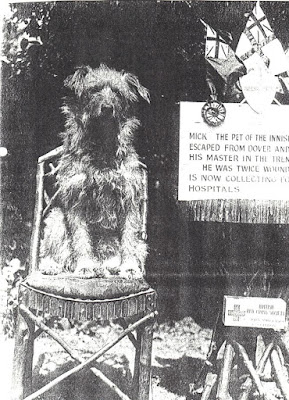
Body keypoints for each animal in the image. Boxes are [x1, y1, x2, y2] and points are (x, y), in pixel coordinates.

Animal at [39, 65, 150, 278]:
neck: (102, 148)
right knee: (58, 253)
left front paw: (129, 267)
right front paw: (84, 266)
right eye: (93, 90)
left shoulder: (130, 200)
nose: (107, 108)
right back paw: (54, 265)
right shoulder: (76, 200)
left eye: (118, 93)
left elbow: (129, 239)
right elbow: (81, 238)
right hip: (56, 218)